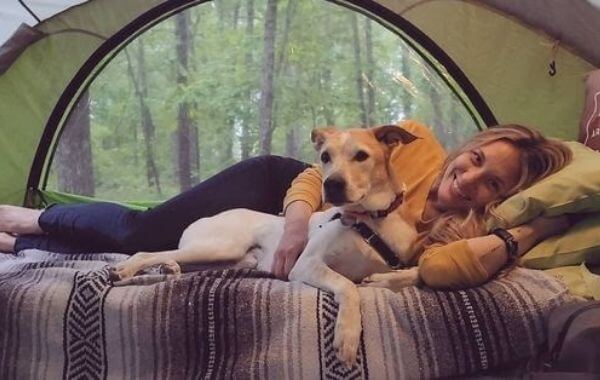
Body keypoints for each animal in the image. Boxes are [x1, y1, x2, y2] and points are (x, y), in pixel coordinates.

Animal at [112, 124, 422, 366]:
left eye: (361, 156)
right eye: (325, 157)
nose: (331, 184)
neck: (370, 221)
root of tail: (205, 218)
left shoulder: (401, 260)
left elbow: (410, 273)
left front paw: (380, 281)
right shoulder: (306, 264)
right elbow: (347, 285)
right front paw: (347, 334)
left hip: (229, 258)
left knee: (178, 261)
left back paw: (167, 268)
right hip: (220, 246)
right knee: (146, 252)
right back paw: (126, 270)